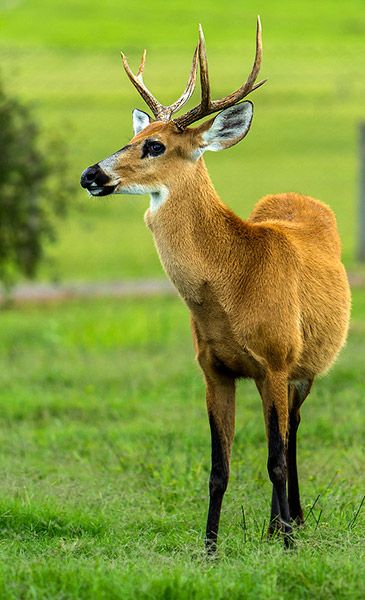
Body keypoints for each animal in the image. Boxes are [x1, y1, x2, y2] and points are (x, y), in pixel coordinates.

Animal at [79, 17, 350, 552]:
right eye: (133, 135)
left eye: (155, 145)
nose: (89, 174)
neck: (233, 282)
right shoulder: (213, 368)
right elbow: (218, 468)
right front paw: (209, 549)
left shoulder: (276, 361)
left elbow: (275, 459)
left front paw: (288, 547)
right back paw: (279, 522)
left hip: (305, 367)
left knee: (292, 434)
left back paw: (290, 522)